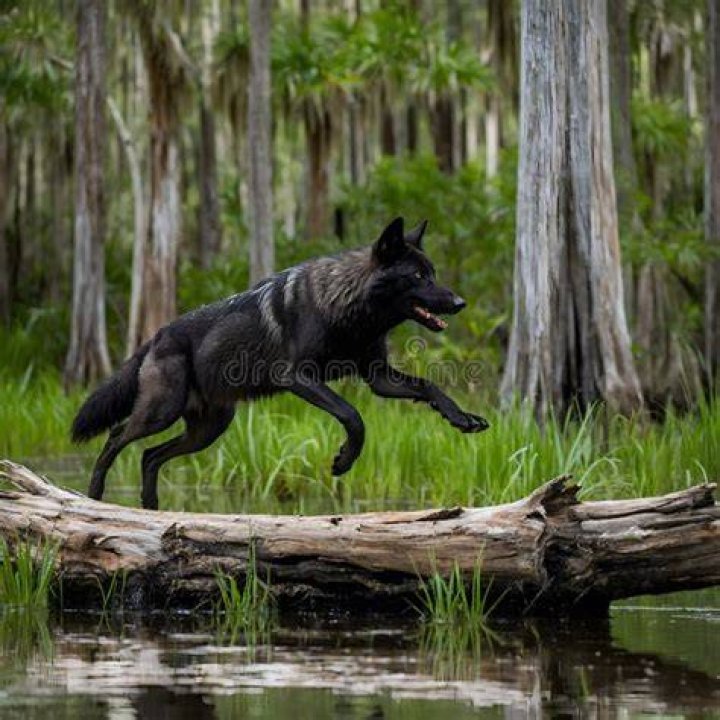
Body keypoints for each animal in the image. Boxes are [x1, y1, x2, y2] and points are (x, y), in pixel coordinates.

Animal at [71, 217, 489, 509]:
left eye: (432, 273)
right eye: (418, 275)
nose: (460, 303)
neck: (348, 311)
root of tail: (156, 336)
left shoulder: (379, 379)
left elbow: (429, 386)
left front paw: (462, 418)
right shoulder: (298, 377)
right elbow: (353, 415)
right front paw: (343, 461)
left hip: (208, 430)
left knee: (149, 456)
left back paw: (151, 508)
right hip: (162, 413)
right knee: (116, 437)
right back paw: (94, 496)